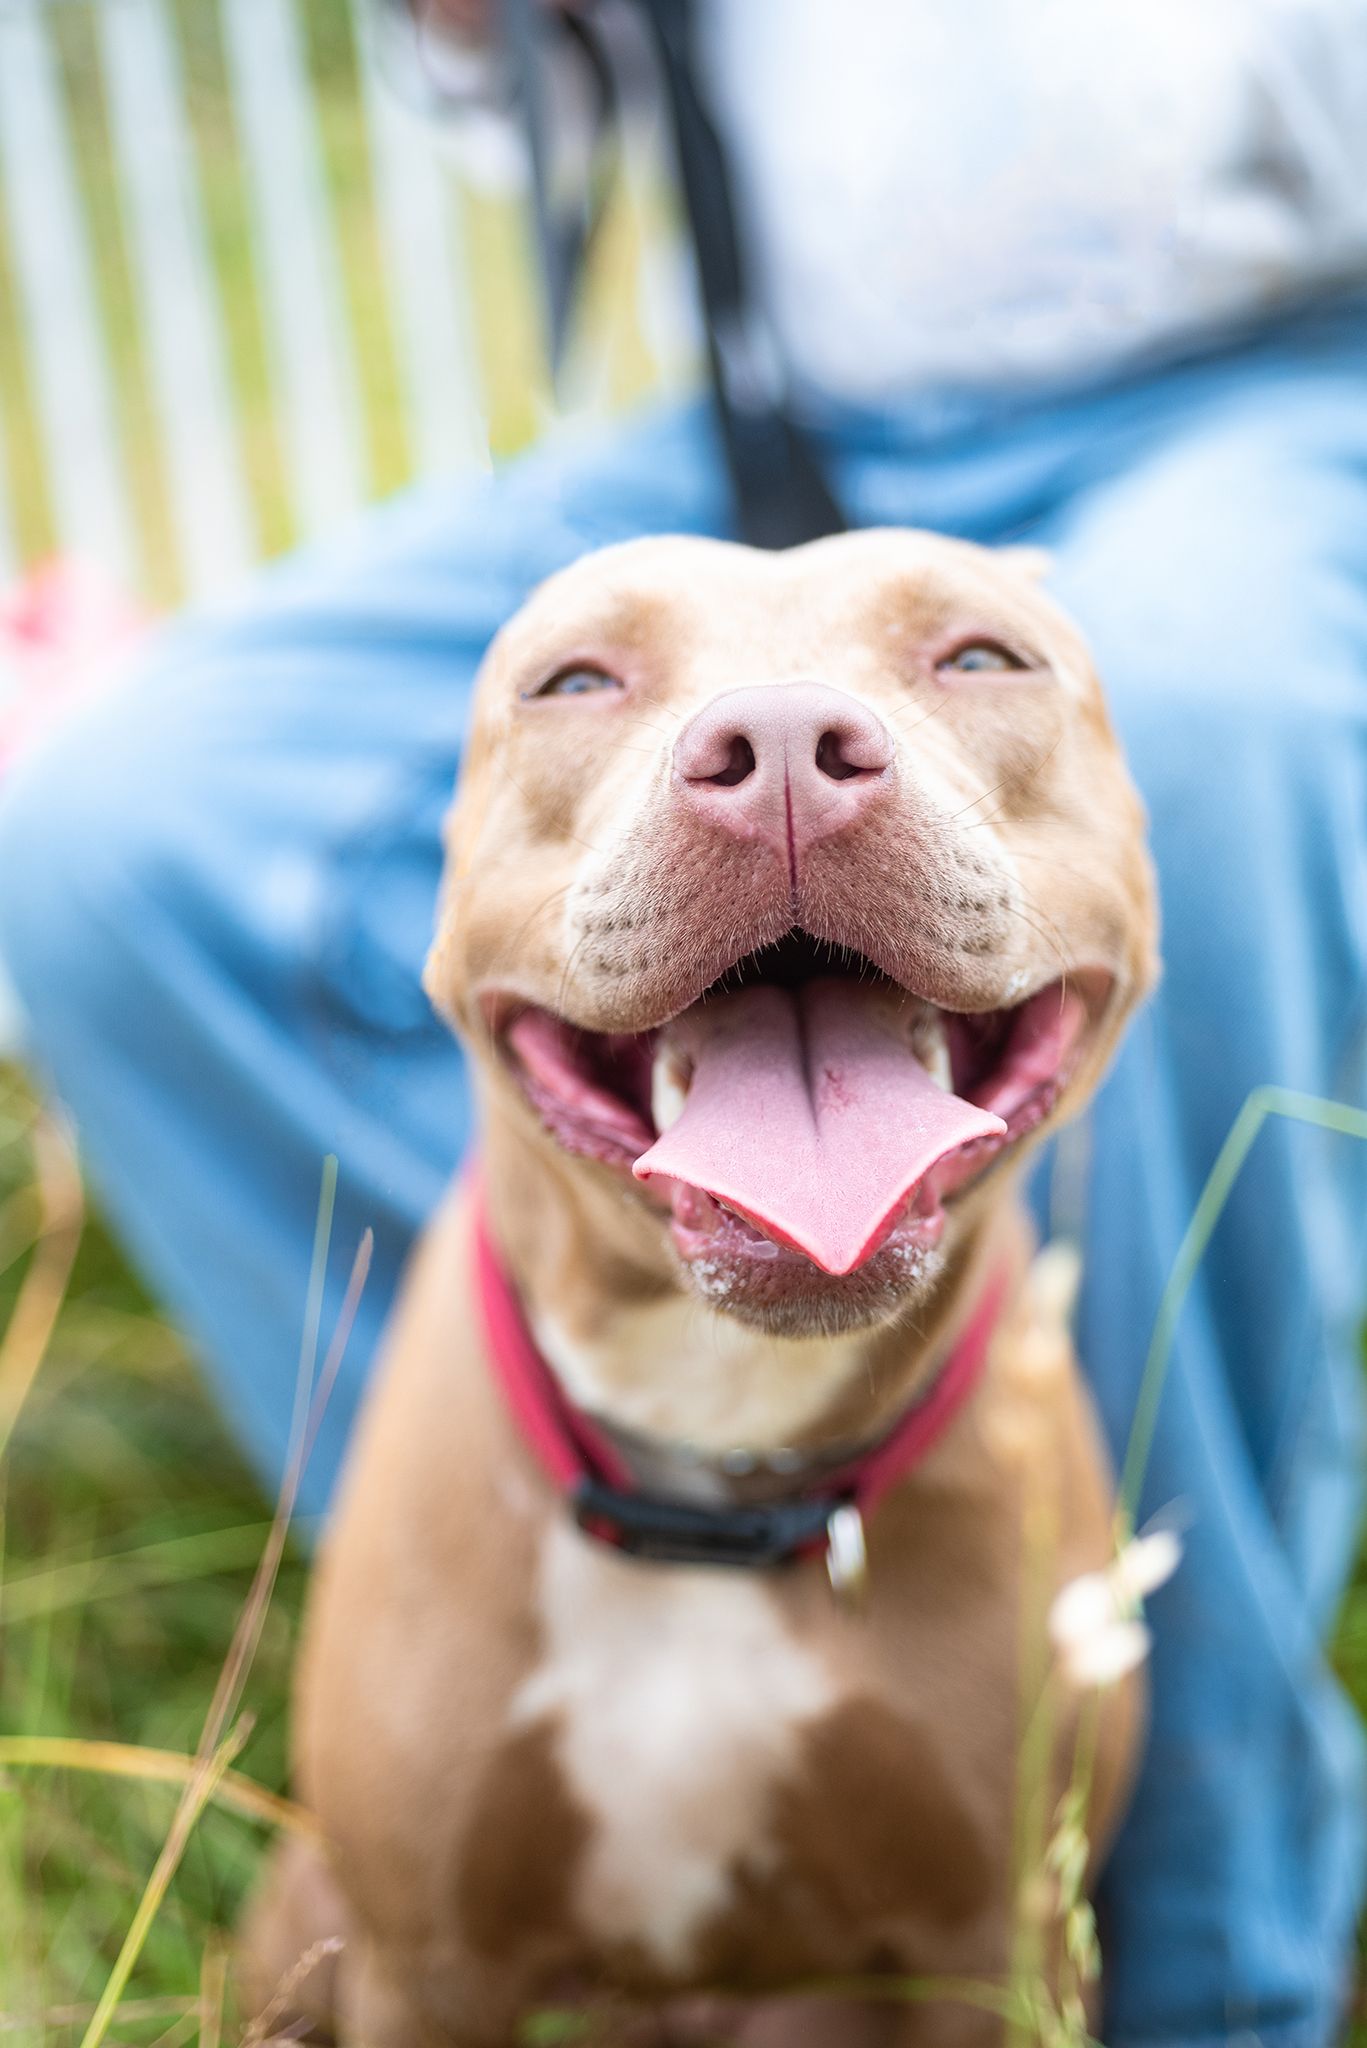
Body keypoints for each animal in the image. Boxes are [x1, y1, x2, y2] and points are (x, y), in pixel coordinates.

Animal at [251, 532, 1164, 2048]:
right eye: (572, 680)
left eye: (981, 657)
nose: (785, 745)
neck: (713, 1470)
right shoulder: (425, 1962)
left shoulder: (993, 1944)